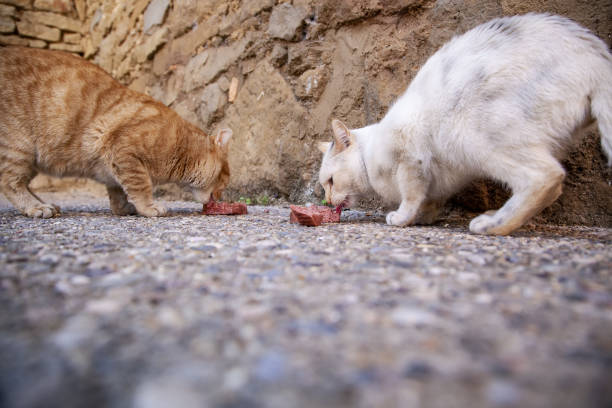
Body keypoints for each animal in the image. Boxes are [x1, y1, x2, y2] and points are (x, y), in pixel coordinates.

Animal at [0, 46, 232, 218]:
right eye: (224, 179)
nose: (221, 197)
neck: (181, 146)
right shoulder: (124, 152)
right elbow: (140, 185)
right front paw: (148, 207)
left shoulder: (114, 167)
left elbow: (118, 191)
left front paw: (124, 208)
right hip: (18, 147)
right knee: (10, 182)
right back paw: (36, 207)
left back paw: (45, 203)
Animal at [318, 12, 608, 234]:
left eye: (330, 181)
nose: (327, 201)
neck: (369, 156)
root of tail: (597, 58)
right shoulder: (436, 179)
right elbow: (430, 199)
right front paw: (423, 218)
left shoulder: (411, 158)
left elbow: (411, 194)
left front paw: (401, 218)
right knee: (553, 184)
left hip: (474, 135)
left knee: (546, 177)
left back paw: (492, 225)